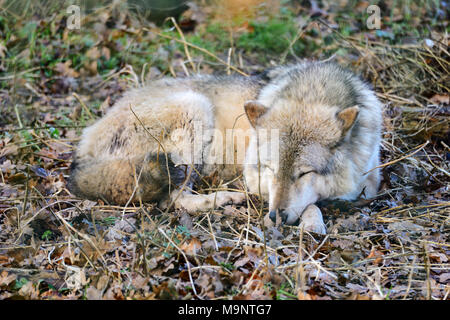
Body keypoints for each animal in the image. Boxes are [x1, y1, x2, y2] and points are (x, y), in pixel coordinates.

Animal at [68, 61, 382, 234]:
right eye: (271, 169)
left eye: (304, 174)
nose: (275, 218)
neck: (313, 93)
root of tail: (84, 148)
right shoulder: (257, 180)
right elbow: (311, 203)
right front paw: (313, 222)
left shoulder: (368, 181)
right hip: (194, 108)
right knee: (173, 200)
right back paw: (226, 199)